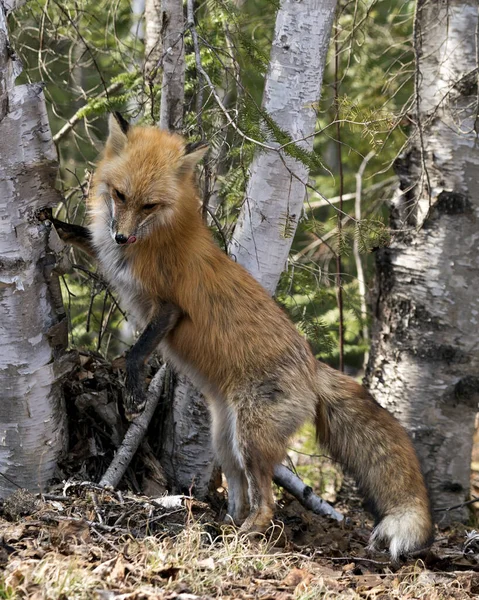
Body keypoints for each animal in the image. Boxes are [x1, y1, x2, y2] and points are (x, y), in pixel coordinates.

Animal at [49, 115, 436, 560]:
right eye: (120, 195)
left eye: (150, 205)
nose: (121, 238)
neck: (155, 237)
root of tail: (312, 365)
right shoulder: (110, 254)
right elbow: (84, 238)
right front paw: (53, 222)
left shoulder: (169, 308)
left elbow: (138, 350)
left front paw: (132, 390)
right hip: (225, 440)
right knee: (239, 495)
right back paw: (221, 526)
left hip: (251, 439)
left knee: (265, 505)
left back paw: (244, 537)